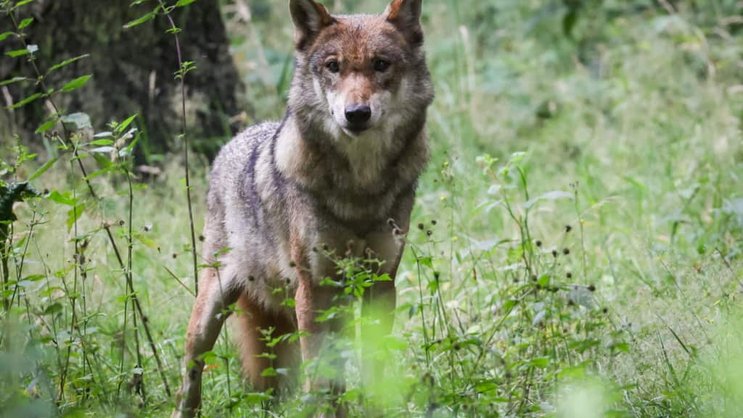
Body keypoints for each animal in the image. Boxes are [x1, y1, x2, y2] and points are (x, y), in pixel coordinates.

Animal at [173, 0, 433, 416]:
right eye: (333, 66)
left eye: (381, 64)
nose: (356, 113)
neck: (359, 189)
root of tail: (233, 142)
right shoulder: (313, 290)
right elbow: (319, 375)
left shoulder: (380, 284)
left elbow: (374, 369)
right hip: (211, 311)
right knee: (190, 374)